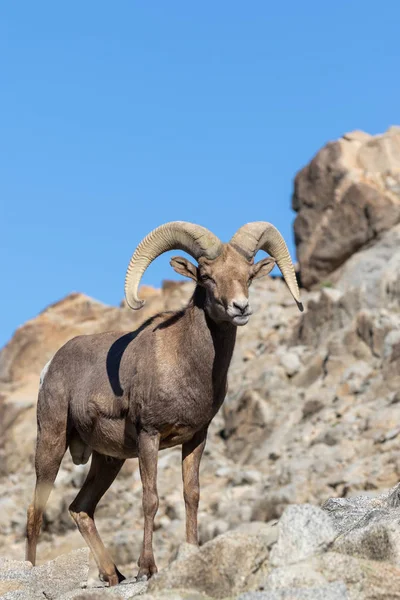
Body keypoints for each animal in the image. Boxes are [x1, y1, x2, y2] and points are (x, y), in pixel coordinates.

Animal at [26, 220, 302, 584]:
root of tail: (50, 366)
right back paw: (31, 572)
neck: (186, 362)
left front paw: (191, 551)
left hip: (108, 461)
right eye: (206, 276)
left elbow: (191, 495)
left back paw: (114, 575)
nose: (240, 308)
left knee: (81, 509)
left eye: (248, 274)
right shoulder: (150, 436)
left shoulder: (196, 438)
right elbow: (150, 499)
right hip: (52, 444)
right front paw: (147, 568)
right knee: (36, 511)